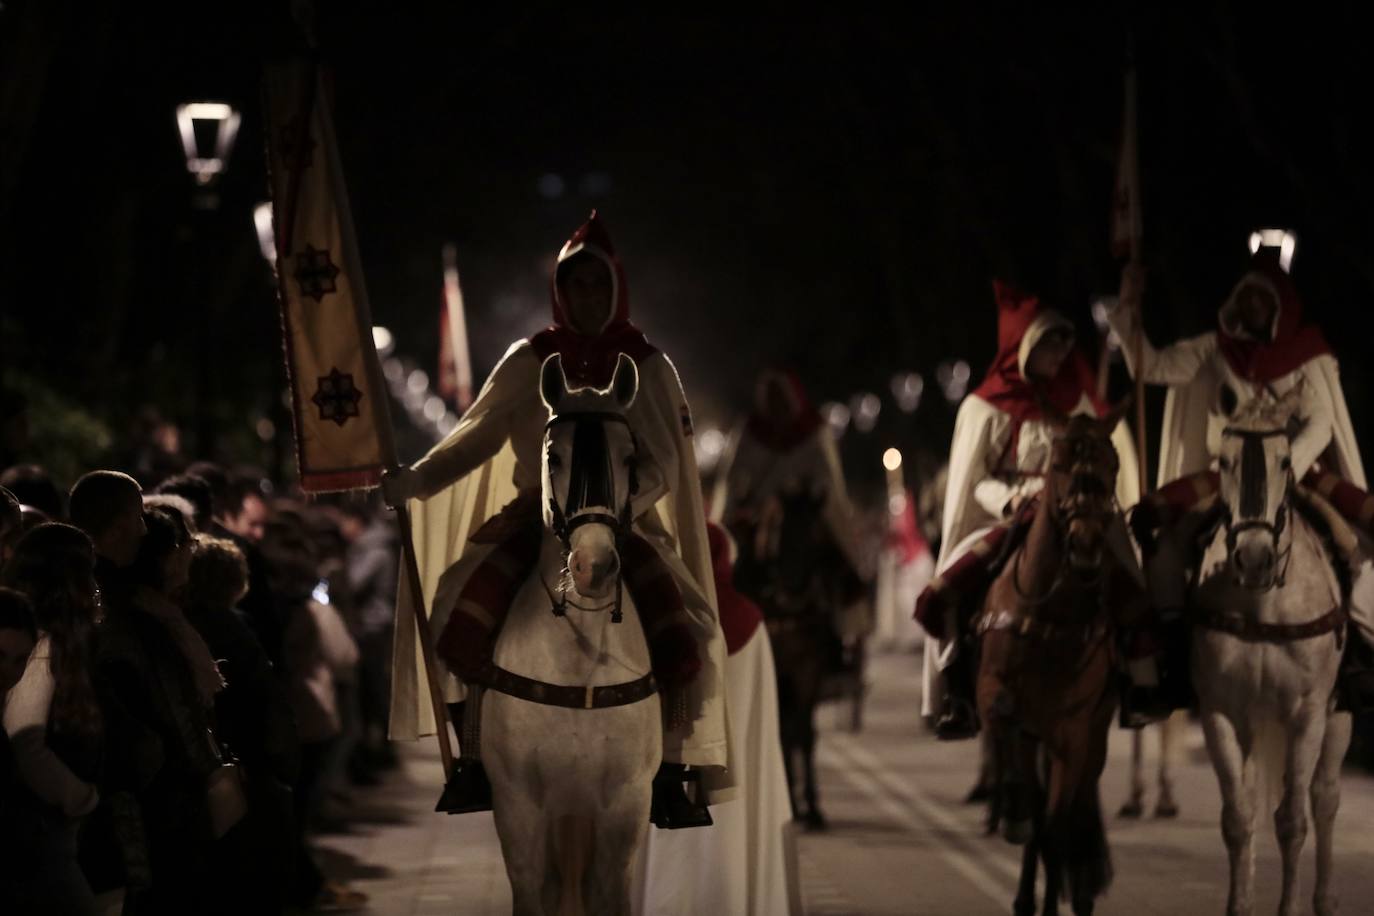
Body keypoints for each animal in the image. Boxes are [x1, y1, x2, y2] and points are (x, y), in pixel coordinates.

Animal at [483, 354, 665, 916]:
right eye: (554, 456)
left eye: (629, 459)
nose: (593, 566)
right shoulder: (517, 807)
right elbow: (531, 891)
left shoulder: (625, 808)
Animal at [978, 409, 1148, 916]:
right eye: (1058, 466)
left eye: (1113, 466)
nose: (1086, 548)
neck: (1049, 616)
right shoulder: (994, 695)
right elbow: (1002, 716)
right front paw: (1010, 809)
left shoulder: (1073, 732)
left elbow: (1056, 828)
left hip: (1087, 738)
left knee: (1069, 817)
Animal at [1192, 395, 1352, 916]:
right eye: (1224, 462)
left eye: (1284, 461)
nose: (1255, 558)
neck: (1264, 605)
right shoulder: (1222, 712)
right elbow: (1239, 817)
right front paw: (1239, 903)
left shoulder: (1307, 714)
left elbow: (1293, 819)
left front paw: (1290, 906)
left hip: (1338, 716)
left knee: (1323, 799)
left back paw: (1325, 899)